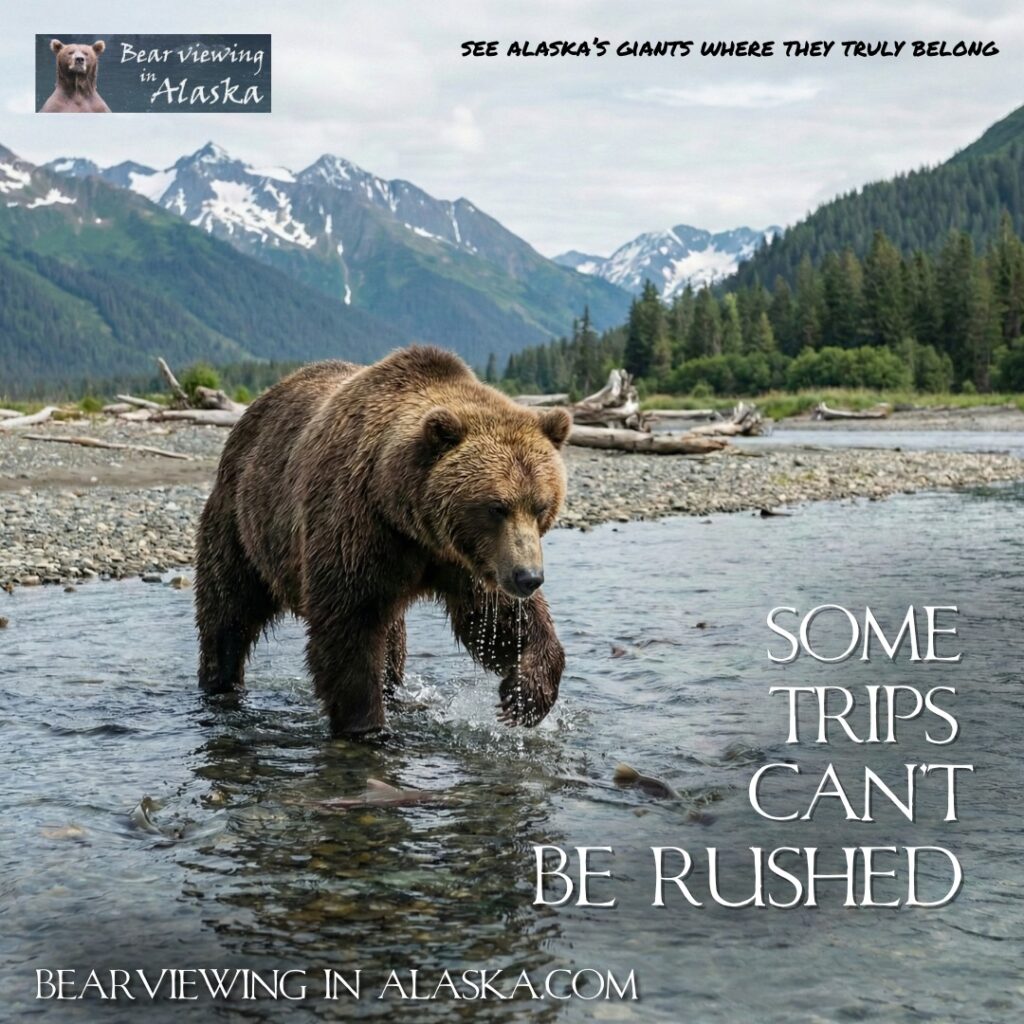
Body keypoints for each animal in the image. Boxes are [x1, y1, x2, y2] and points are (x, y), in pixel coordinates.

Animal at [194, 346, 572, 737]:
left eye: (541, 505)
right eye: (497, 507)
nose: (528, 577)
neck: (406, 515)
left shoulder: (467, 558)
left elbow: (496, 617)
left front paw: (525, 694)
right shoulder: (359, 529)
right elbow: (348, 628)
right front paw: (365, 725)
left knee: (392, 641)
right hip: (242, 522)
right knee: (228, 610)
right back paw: (219, 683)